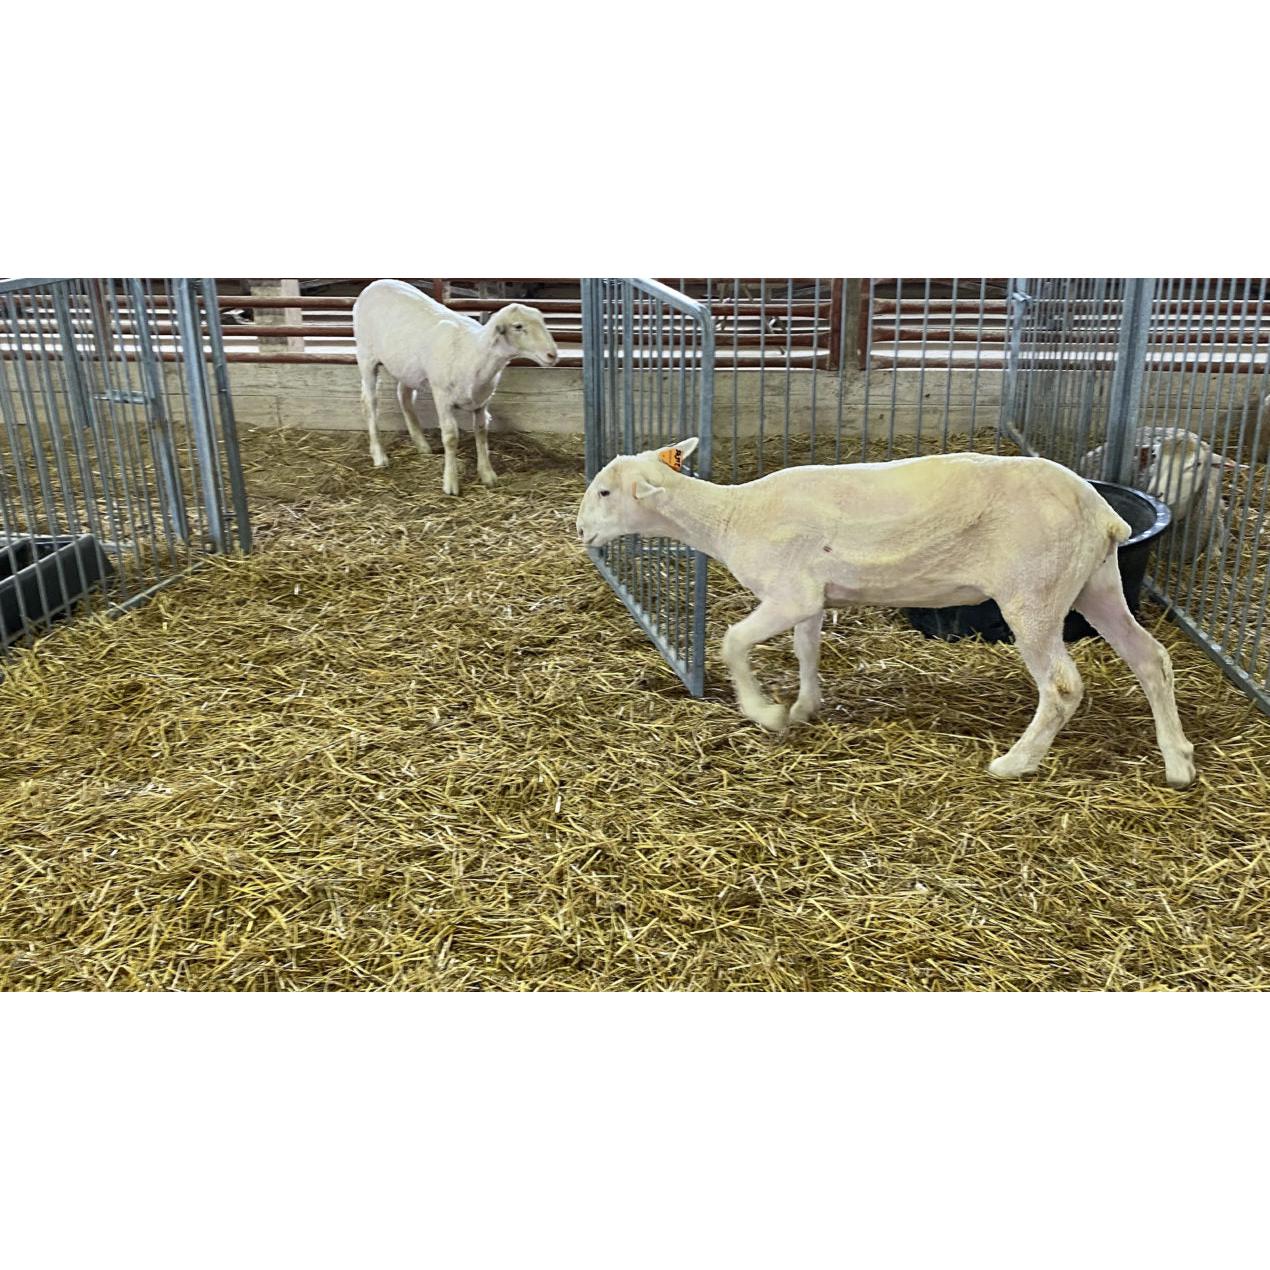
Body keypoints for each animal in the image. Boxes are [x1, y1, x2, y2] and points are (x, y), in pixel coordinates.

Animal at [352, 279, 558, 495]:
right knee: (370, 402)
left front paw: (487, 474)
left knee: (404, 396)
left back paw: (422, 445)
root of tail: (377, 283)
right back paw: (379, 455)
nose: (552, 355)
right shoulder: (442, 396)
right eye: (518, 326)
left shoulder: (482, 400)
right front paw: (451, 482)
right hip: (365, 355)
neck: (472, 353)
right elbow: (450, 437)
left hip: (407, 368)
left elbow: (481, 431)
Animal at [575, 438, 1196, 788]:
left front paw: (765, 712)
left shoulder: (789, 593)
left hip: (1035, 591)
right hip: (1094, 581)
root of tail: (1102, 513)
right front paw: (805, 706)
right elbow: (806, 648)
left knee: (1063, 685)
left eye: (605, 493)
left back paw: (1016, 763)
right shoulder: (811, 594)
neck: (731, 517)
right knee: (1152, 659)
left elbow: (732, 640)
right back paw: (1179, 764)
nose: (580, 530)